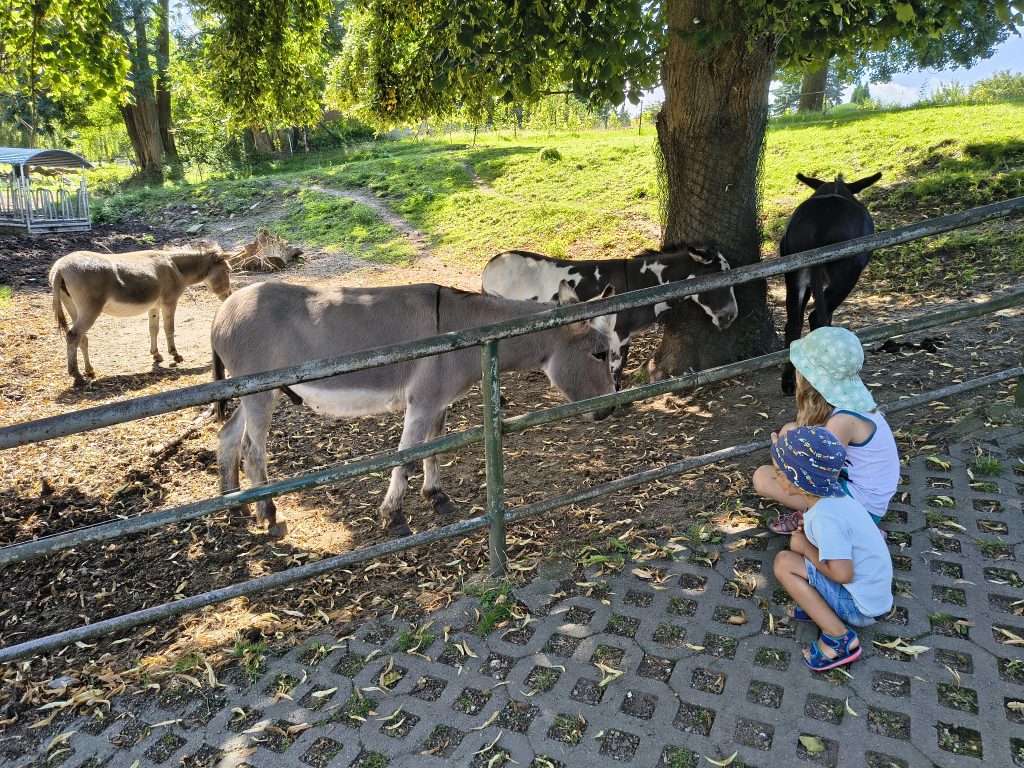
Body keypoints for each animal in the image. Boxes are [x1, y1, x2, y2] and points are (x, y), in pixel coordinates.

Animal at [49, 244, 232, 386]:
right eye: (228, 271)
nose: (229, 296)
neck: (176, 267)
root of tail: (60, 268)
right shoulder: (169, 302)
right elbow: (169, 328)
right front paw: (175, 355)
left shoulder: (154, 306)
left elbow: (153, 329)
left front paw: (156, 355)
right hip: (90, 309)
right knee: (73, 336)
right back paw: (77, 376)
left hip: (73, 306)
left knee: (81, 338)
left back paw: (89, 371)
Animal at [211, 280, 616, 539]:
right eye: (600, 354)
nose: (610, 410)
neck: (462, 330)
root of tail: (222, 312)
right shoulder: (421, 401)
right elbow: (407, 455)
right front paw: (393, 516)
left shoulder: (439, 401)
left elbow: (434, 449)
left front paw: (435, 496)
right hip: (261, 394)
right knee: (252, 449)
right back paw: (267, 512)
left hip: (254, 393)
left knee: (227, 435)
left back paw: (234, 505)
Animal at [481, 245, 738, 387]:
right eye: (719, 277)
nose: (731, 317)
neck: (639, 283)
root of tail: (491, 263)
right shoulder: (618, 333)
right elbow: (616, 365)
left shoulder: (625, 335)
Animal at [781, 172, 882, 394]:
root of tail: (820, 226)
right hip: (846, 275)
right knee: (817, 316)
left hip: (794, 273)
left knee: (793, 322)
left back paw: (788, 383)